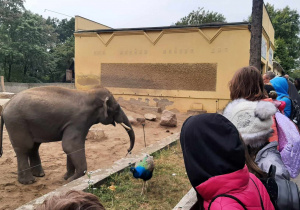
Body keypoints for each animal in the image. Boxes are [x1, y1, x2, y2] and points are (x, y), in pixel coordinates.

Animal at [0, 85, 134, 184]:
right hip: (17, 123)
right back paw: (29, 181)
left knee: (34, 147)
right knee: (24, 148)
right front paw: (72, 180)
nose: (128, 150)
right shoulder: (78, 121)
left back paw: (39, 175)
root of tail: (5, 106)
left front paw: (67, 177)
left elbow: (71, 147)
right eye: (117, 108)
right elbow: (71, 146)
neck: (89, 93)